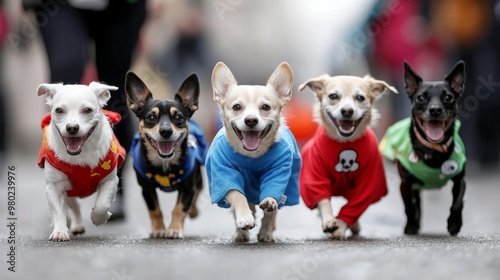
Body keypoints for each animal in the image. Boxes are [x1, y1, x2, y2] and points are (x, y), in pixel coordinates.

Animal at [36, 82, 125, 242]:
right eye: (59, 110)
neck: (80, 155)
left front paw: (98, 218)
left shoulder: (110, 181)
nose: (72, 127)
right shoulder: (54, 187)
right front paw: (60, 231)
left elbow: (102, 204)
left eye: (87, 110)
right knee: (73, 206)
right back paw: (74, 224)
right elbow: (58, 211)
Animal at [125, 71, 207, 238]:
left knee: (198, 190)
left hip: (198, 179)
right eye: (151, 117)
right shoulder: (147, 189)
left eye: (178, 118)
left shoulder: (188, 188)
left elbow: (179, 208)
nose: (166, 131)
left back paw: (193, 211)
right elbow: (155, 210)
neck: (164, 164)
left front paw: (174, 229)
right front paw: (158, 230)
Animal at [206, 62, 300, 242]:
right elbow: (238, 196)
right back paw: (241, 233)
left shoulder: (279, 172)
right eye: (237, 107)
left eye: (265, 107)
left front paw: (269, 205)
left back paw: (266, 233)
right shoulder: (225, 174)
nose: (251, 120)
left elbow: (272, 193)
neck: (251, 156)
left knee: (271, 214)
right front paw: (245, 219)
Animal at [298, 74, 396, 238]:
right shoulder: (314, 177)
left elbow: (353, 207)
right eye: (333, 96)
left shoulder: (367, 185)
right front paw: (329, 220)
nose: (347, 111)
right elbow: (322, 199)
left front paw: (341, 228)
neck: (345, 142)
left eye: (360, 98)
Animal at [380, 61, 466, 236]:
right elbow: (410, 207)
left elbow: (457, 203)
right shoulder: (405, 185)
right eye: (420, 98)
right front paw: (411, 226)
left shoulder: (460, 180)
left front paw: (454, 224)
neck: (433, 149)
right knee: (416, 204)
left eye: (448, 97)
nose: (435, 109)